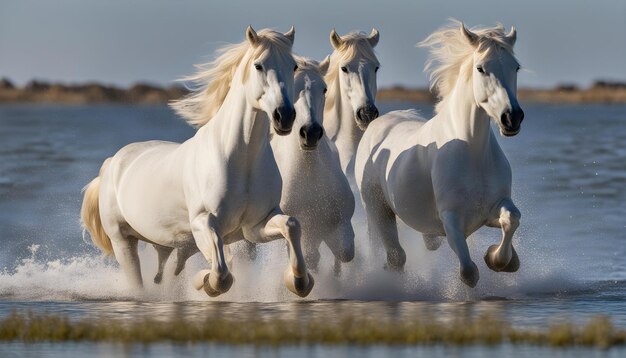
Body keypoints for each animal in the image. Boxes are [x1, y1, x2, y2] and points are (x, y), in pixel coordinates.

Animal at [81, 26, 314, 298]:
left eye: (293, 66)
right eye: (259, 65)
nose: (284, 116)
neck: (240, 161)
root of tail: (111, 163)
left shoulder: (255, 225)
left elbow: (291, 225)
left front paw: (299, 280)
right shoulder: (204, 223)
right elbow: (221, 273)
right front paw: (204, 281)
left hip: (164, 244)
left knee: (167, 272)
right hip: (123, 241)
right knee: (138, 281)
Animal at [356, 21, 520, 286]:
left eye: (516, 66)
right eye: (481, 68)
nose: (512, 118)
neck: (472, 151)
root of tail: (375, 124)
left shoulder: (493, 208)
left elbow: (512, 218)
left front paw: (499, 259)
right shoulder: (451, 220)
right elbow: (469, 272)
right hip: (377, 210)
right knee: (395, 256)